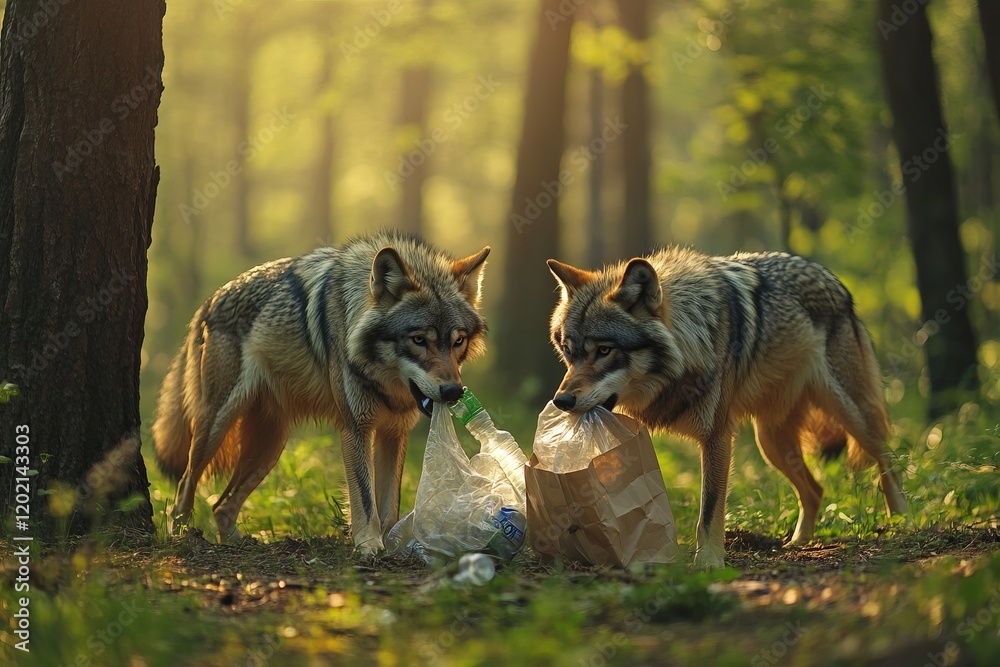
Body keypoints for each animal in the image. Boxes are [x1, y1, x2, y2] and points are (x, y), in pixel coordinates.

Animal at [153, 232, 490, 553]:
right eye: (419, 339)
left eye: (458, 341)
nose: (453, 391)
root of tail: (209, 301)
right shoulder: (355, 429)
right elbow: (365, 500)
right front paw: (370, 546)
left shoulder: (394, 433)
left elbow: (389, 506)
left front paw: (392, 545)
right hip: (216, 428)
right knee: (185, 483)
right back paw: (183, 536)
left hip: (270, 448)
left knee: (220, 506)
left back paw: (239, 542)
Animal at [546, 248, 907, 568]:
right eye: (569, 351)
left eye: (604, 350)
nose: (561, 401)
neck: (691, 338)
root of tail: (831, 277)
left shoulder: (717, 437)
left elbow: (709, 510)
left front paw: (708, 562)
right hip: (771, 444)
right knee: (816, 489)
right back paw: (797, 543)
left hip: (849, 415)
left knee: (888, 459)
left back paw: (901, 523)